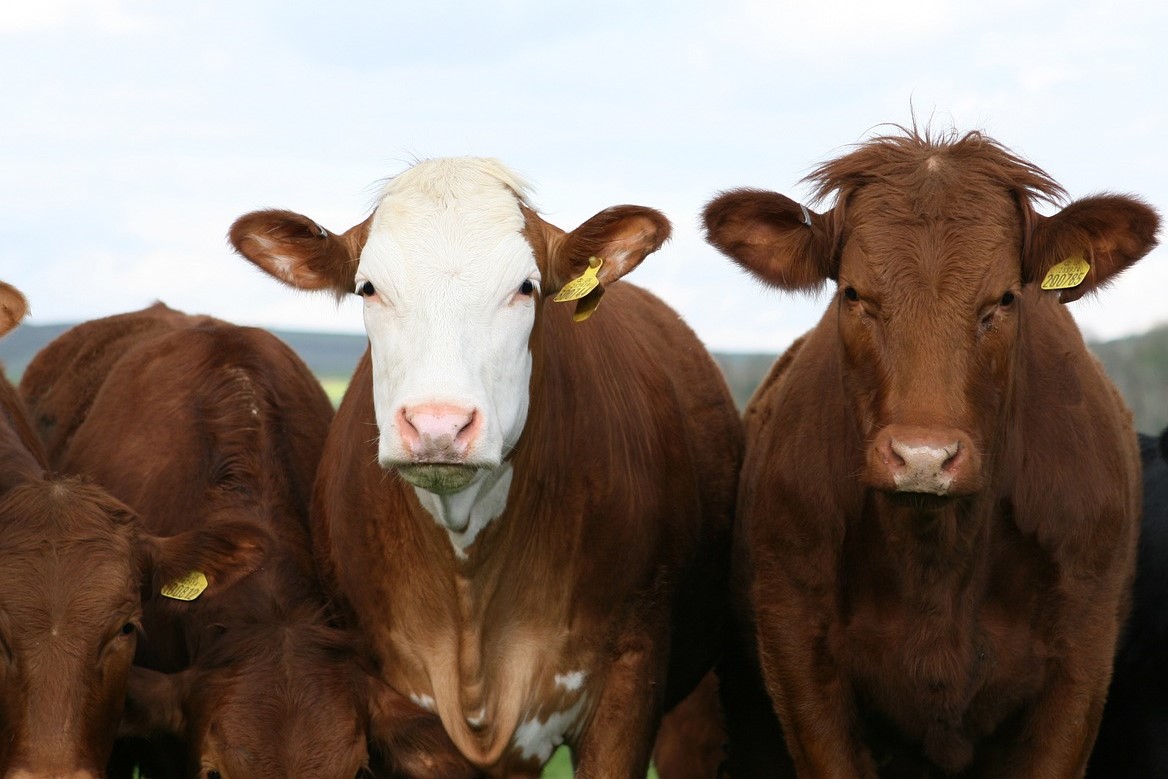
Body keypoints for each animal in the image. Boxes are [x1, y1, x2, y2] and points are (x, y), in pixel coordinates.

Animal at [700, 124, 1158, 775]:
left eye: (1005, 299)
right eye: (852, 293)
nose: (923, 457)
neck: (938, 561)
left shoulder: (1081, 663)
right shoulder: (797, 658)